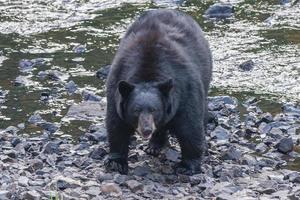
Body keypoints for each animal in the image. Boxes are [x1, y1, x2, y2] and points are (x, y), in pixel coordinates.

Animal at [104, 9, 212, 174]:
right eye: (136, 110)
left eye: (154, 110)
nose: (146, 130)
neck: (148, 74)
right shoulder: (116, 85)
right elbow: (116, 125)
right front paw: (116, 162)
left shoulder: (184, 89)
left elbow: (190, 126)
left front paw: (187, 165)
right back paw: (154, 146)